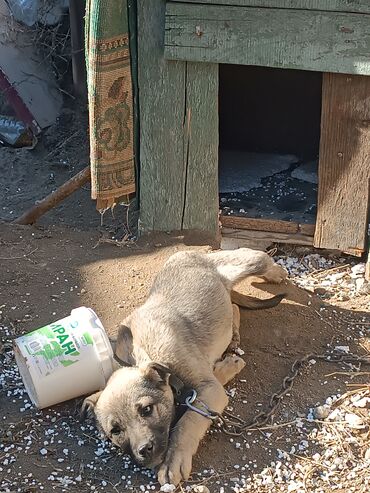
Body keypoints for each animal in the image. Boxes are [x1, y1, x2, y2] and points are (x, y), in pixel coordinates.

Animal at [82, 248, 288, 486]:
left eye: (146, 409)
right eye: (115, 430)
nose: (144, 450)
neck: (140, 355)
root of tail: (196, 254)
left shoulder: (210, 390)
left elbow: (188, 421)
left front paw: (174, 459)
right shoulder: (207, 384)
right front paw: (227, 366)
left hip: (244, 263)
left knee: (257, 256)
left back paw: (276, 272)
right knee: (234, 307)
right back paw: (234, 336)